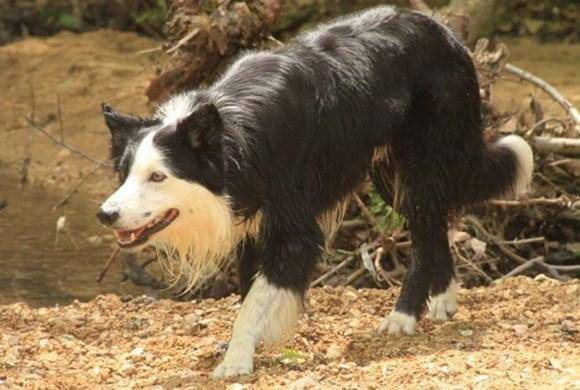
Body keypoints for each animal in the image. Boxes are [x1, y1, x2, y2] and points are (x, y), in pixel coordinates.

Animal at [97, 6, 532, 378]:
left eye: (158, 177)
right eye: (123, 174)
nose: (105, 215)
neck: (235, 136)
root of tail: (445, 32)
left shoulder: (296, 229)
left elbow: (256, 299)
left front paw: (236, 360)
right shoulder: (252, 226)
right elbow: (249, 293)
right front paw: (247, 347)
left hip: (422, 160)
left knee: (425, 233)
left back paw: (402, 316)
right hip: (390, 174)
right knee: (434, 225)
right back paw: (443, 299)